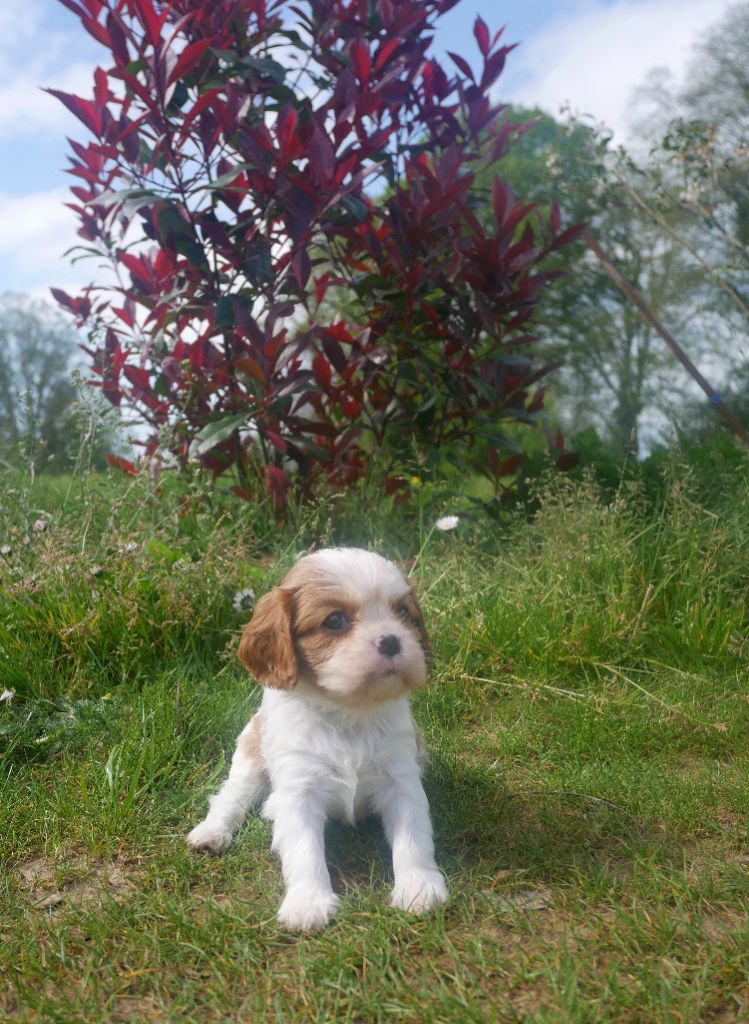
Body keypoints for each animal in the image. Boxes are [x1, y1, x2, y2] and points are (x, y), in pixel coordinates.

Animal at [187, 547, 448, 931]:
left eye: (402, 612)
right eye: (334, 621)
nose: (391, 639)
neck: (349, 712)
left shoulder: (401, 778)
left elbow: (412, 837)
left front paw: (419, 887)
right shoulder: (300, 788)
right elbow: (304, 850)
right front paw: (307, 902)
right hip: (249, 756)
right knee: (230, 798)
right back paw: (211, 832)